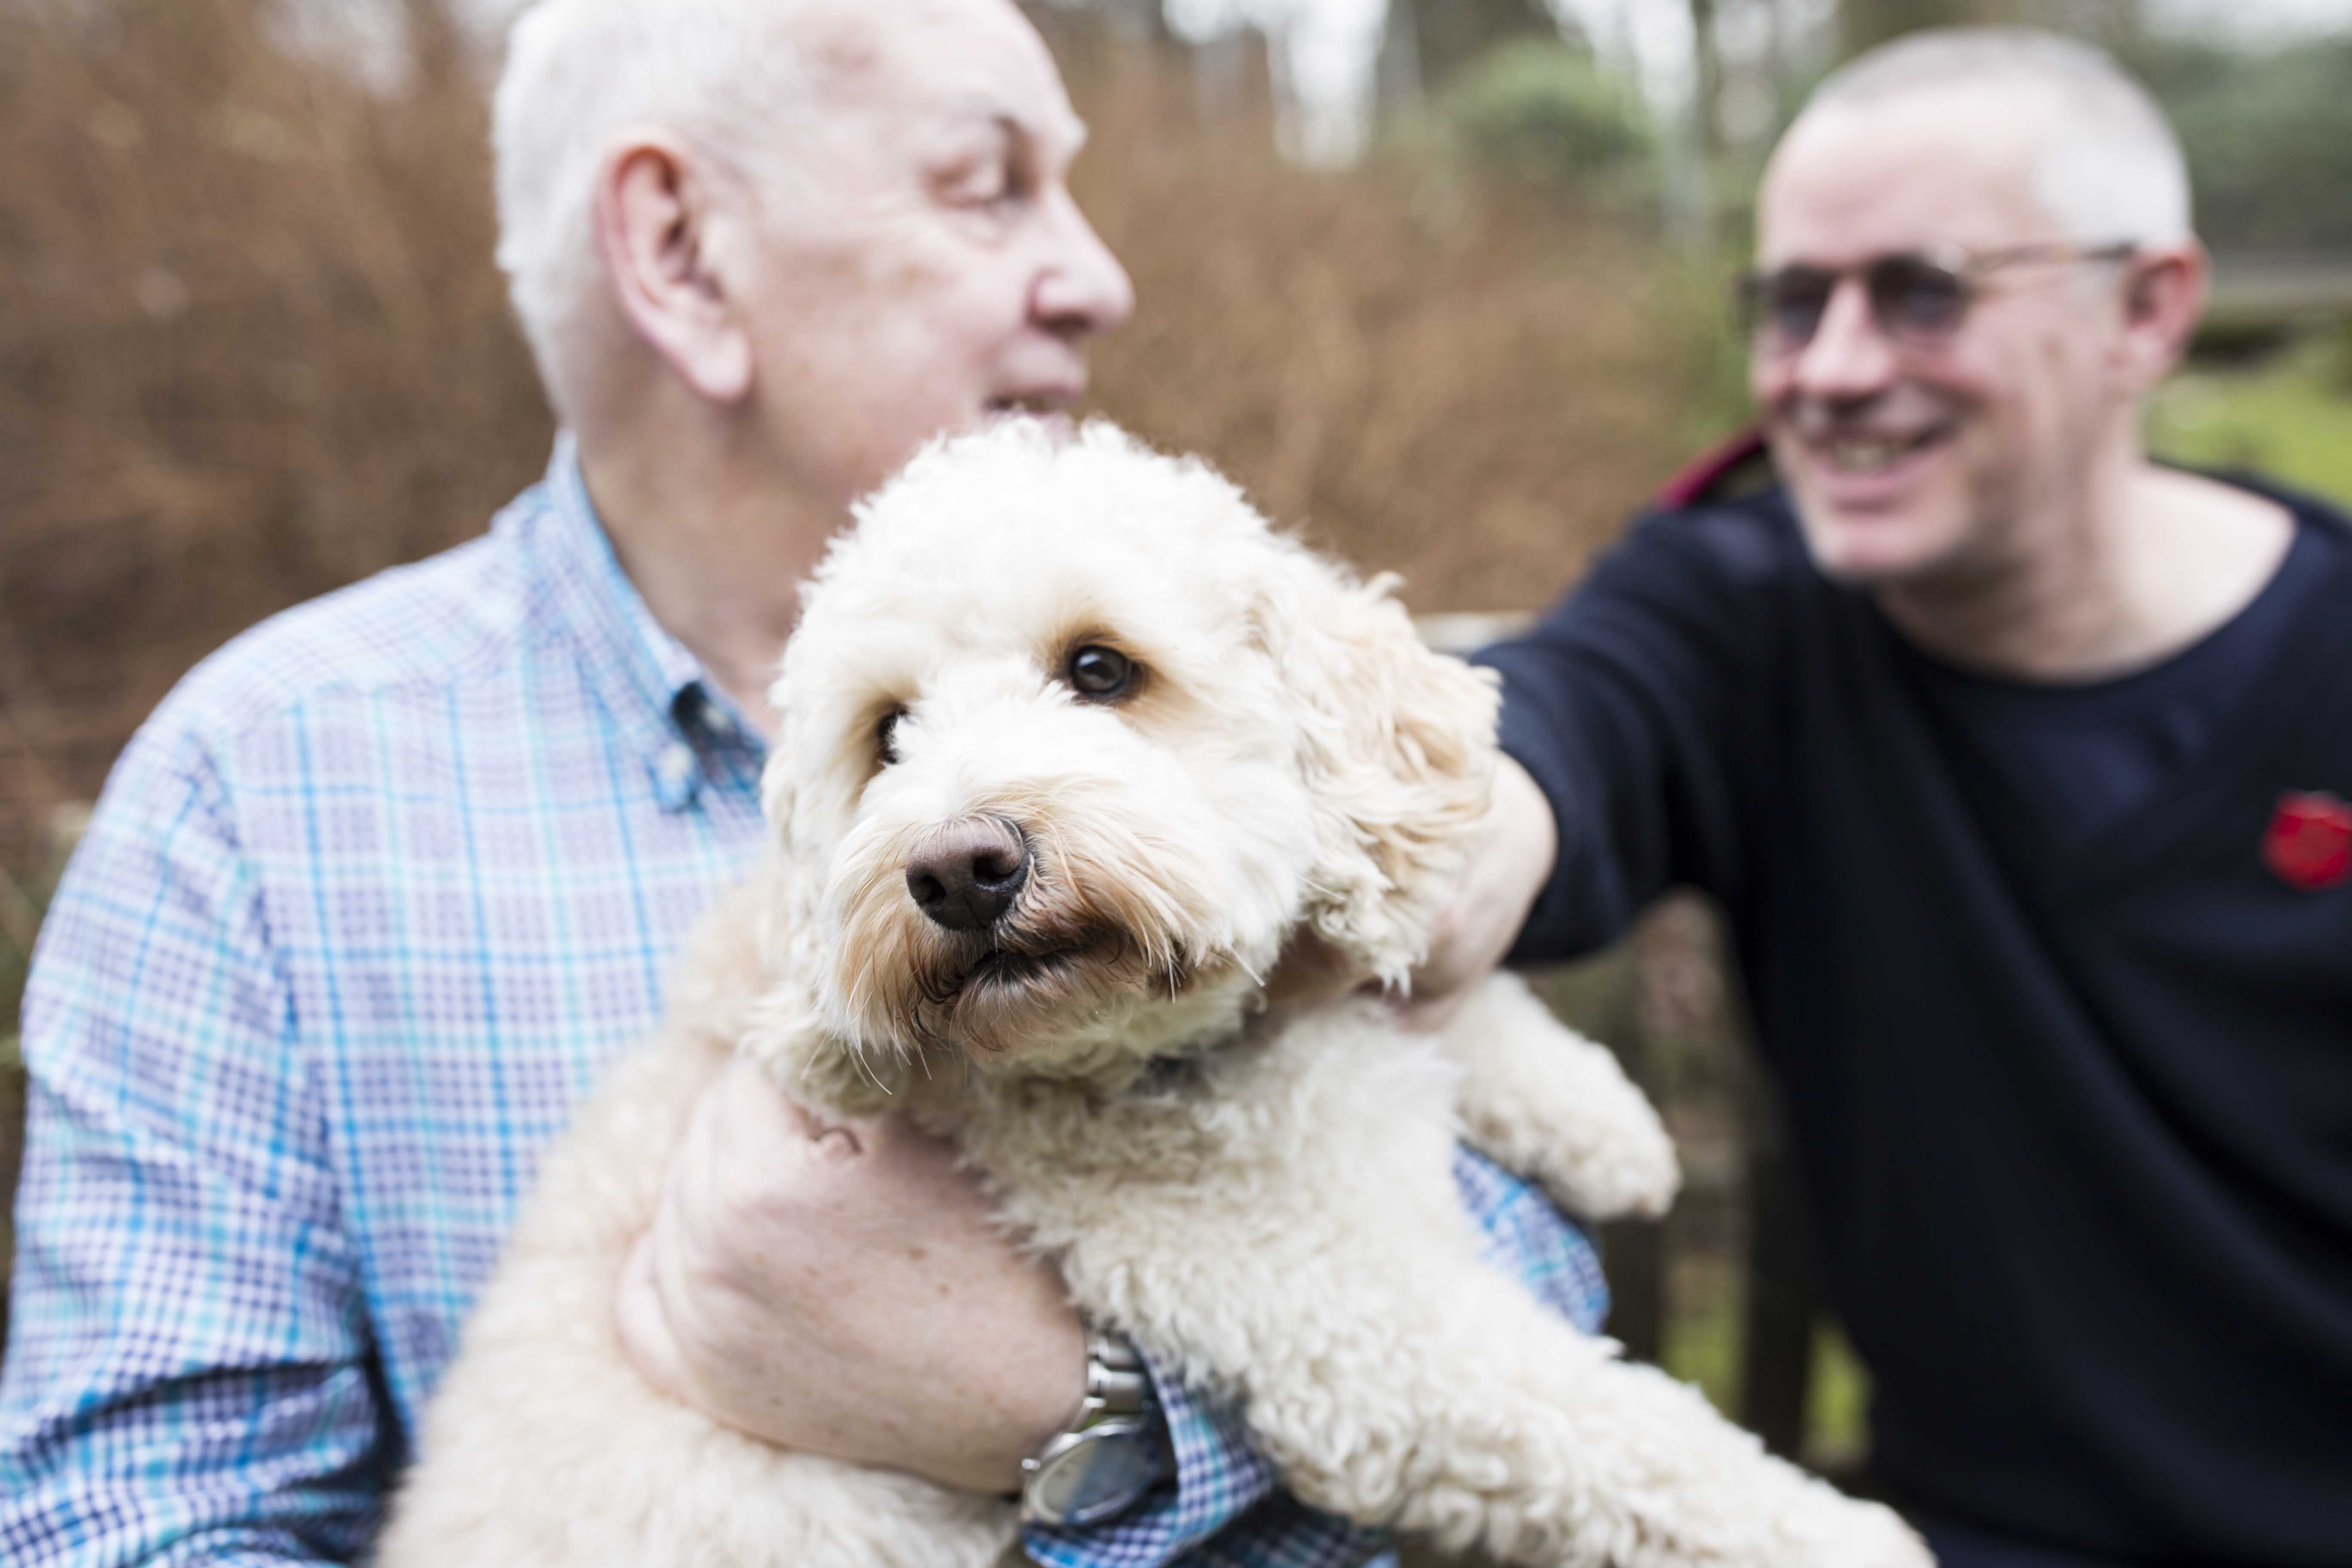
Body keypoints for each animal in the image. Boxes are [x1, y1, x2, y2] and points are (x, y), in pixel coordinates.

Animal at [381, 420, 1929, 1568]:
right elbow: (1626, 1436)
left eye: (1100, 667)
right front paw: (1848, 1536)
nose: (959, 867)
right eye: (888, 734)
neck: (1157, 1054)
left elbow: (1423, 1001)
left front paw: (1604, 1120)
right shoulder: (1365, 1335)